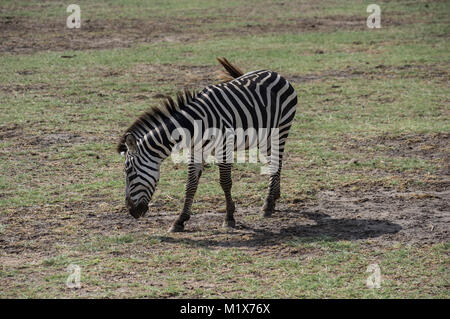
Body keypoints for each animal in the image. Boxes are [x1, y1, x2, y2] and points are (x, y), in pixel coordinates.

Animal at [118, 58, 298, 232]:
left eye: (130, 172)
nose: (132, 212)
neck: (193, 126)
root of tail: (273, 72)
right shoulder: (195, 151)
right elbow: (190, 185)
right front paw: (180, 220)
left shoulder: (223, 148)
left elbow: (225, 182)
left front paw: (229, 217)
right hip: (264, 136)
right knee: (273, 162)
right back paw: (274, 197)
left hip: (280, 130)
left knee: (276, 162)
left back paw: (268, 204)